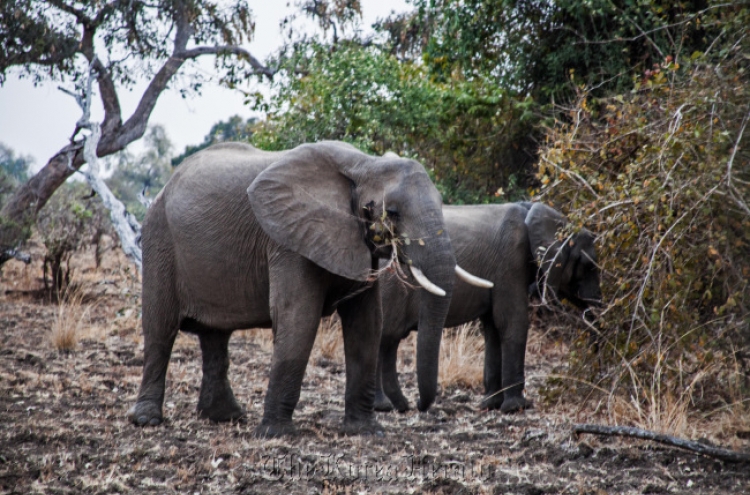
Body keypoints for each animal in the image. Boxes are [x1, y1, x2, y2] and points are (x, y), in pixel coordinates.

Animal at [128, 140, 494, 438]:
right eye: (392, 212)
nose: (418, 407)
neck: (364, 164)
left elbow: (367, 324)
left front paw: (367, 431)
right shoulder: (287, 239)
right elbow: (298, 317)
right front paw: (276, 435)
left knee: (215, 336)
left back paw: (225, 417)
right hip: (159, 237)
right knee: (160, 329)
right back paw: (147, 420)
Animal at [376, 202, 604, 414]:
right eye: (589, 266)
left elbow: (493, 327)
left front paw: (491, 404)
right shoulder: (511, 261)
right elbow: (512, 322)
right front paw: (515, 408)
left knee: (388, 343)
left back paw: (399, 406)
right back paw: (387, 406)